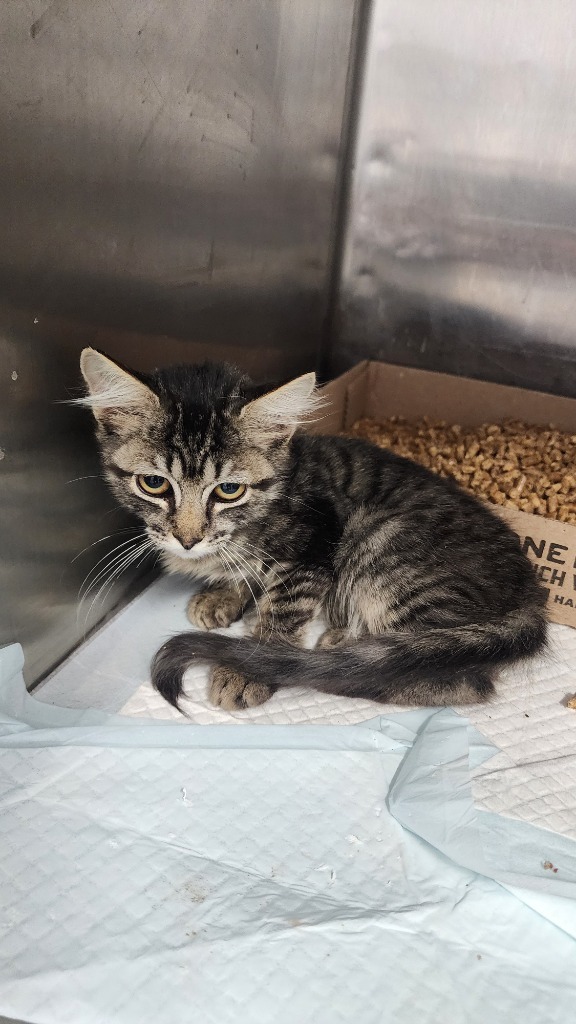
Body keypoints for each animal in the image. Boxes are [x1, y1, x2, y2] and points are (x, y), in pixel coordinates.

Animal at [78, 348, 545, 708]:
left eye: (228, 490)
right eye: (154, 483)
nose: (187, 539)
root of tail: (531, 595)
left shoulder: (315, 542)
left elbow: (282, 607)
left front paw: (249, 667)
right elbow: (244, 575)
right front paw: (224, 594)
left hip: (384, 542)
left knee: (457, 678)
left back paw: (342, 670)